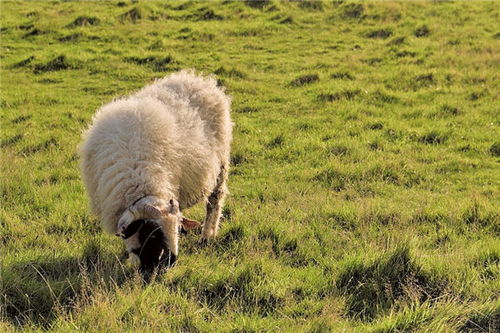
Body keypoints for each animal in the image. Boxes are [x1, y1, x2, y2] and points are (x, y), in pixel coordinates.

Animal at [79, 68, 232, 272]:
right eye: (152, 234)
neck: (139, 179)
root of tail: (199, 79)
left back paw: (207, 236)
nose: (171, 262)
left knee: (214, 202)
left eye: (177, 230)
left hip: (221, 166)